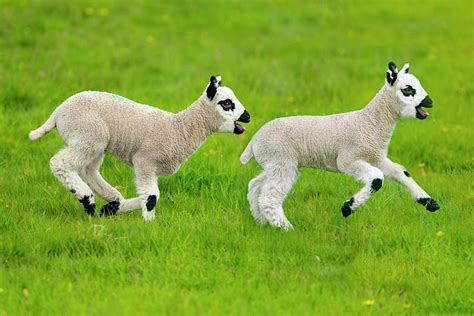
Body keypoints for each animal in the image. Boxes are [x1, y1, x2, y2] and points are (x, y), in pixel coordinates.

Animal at [29, 75, 250, 221]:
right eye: (226, 103)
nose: (247, 116)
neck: (179, 129)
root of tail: (58, 112)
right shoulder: (145, 161)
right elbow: (152, 197)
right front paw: (150, 225)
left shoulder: (151, 167)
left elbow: (147, 196)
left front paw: (113, 210)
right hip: (87, 135)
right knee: (60, 163)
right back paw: (87, 199)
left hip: (94, 142)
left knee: (87, 170)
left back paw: (112, 200)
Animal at [243, 62, 442, 230]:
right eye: (407, 89)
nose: (430, 102)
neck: (370, 123)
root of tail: (254, 141)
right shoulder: (348, 160)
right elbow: (377, 179)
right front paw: (348, 208)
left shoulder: (376, 158)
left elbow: (402, 173)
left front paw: (429, 202)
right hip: (281, 160)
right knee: (269, 196)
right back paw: (285, 228)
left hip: (274, 163)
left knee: (255, 186)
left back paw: (261, 221)